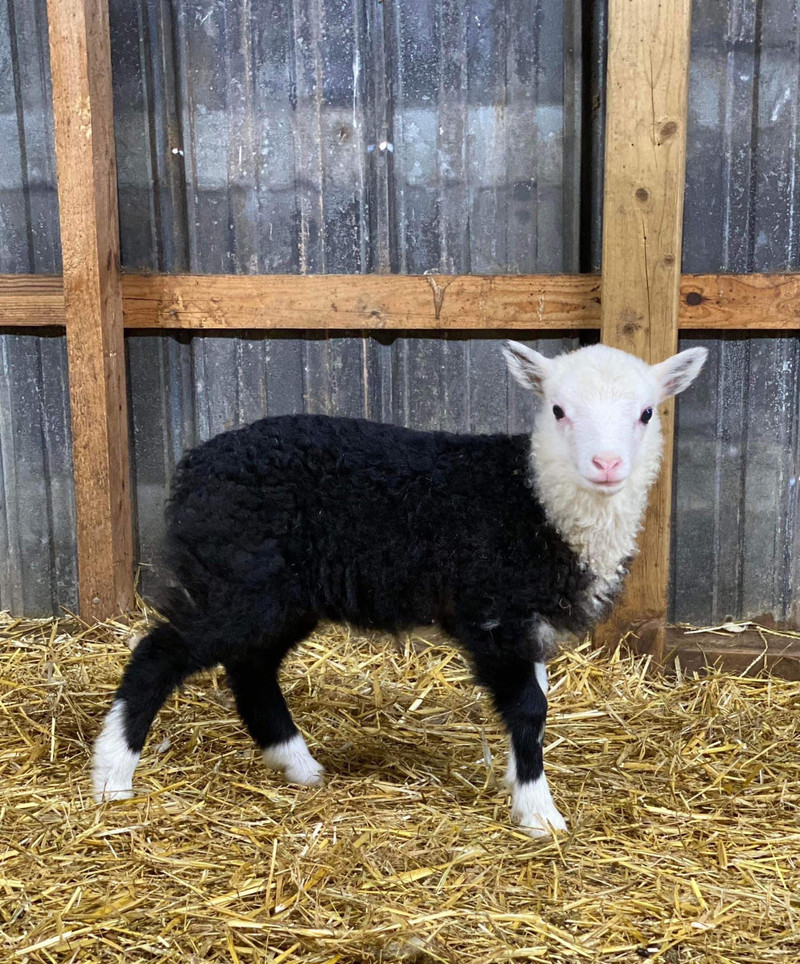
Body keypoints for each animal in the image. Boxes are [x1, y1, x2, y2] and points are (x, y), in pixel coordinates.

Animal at [92, 340, 707, 836]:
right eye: (558, 410)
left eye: (646, 413)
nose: (607, 464)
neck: (533, 498)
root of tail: (194, 466)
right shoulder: (494, 609)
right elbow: (530, 707)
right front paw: (539, 813)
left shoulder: (523, 617)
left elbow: (532, 701)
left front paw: (518, 783)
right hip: (236, 578)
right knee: (160, 654)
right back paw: (112, 774)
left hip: (276, 592)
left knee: (251, 669)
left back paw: (298, 765)